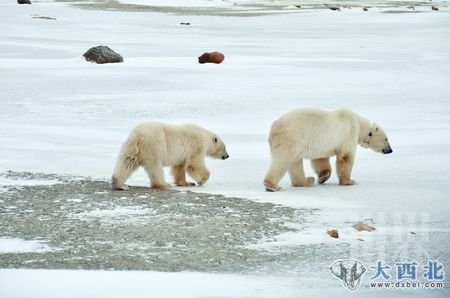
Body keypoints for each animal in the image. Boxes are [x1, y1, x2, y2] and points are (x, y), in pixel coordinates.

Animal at [262, 108, 392, 192]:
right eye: (386, 139)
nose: (390, 150)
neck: (359, 124)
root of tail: (274, 126)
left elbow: (320, 159)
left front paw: (323, 177)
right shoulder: (349, 133)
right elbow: (345, 157)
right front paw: (349, 181)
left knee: (295, 162)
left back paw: (307, 180)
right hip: (292, 137)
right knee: (282, 160)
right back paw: (272, 186)